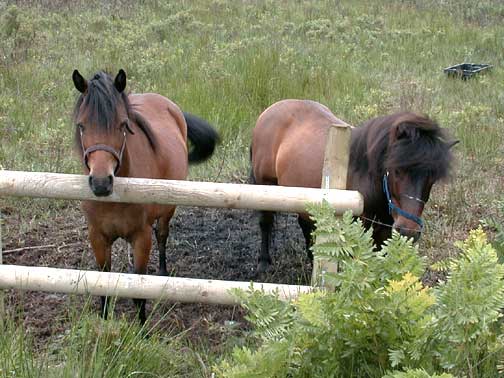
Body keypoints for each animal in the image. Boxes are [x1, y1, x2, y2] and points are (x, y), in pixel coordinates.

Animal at [72, 68, 219, 322]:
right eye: (82, 126)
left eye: (123, 125)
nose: (101, 183)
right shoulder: (97, 237)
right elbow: (104, 286)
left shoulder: (141, 238)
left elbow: (140, 290)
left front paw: (142, 328)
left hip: (168, 209)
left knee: (162, 234)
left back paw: (162, 271)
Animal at [252, 99, 456, 274]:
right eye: (396, 170)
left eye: (432, 178)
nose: (409, 230)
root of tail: (270, 110)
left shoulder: (383, 231)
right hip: (265, 185)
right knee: (266, 222)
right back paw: (264, 262)